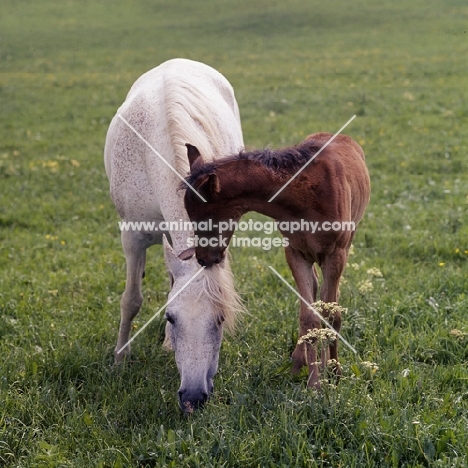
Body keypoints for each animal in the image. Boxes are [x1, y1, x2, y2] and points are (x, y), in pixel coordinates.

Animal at [103, 58, 243, 414]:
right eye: (171, 316)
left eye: (220, 319)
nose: (193, 398)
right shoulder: (132, 237)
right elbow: (131, 300)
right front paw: (119, 360)